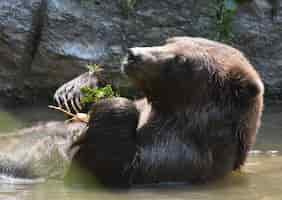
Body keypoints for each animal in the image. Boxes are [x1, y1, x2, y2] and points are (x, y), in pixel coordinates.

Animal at [55, 36, 264, 188]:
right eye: (168, 41)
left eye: (180, 60)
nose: (133, 54)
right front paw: (76, 90)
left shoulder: (177, 157)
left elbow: (113, 167)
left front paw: (115, 104)